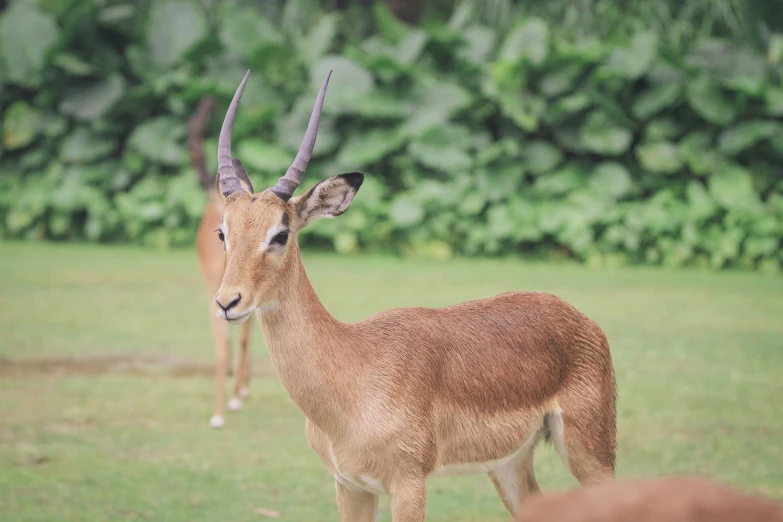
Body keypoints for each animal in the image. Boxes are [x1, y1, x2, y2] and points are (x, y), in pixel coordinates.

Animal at [208, 70, 620, 520]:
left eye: (280, 234)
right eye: (222, 231)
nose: (227, 302)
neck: (352, 371)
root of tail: (580, 318)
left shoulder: (408, 484)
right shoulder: (349, 486)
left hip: (591, 451)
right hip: (509, 463)